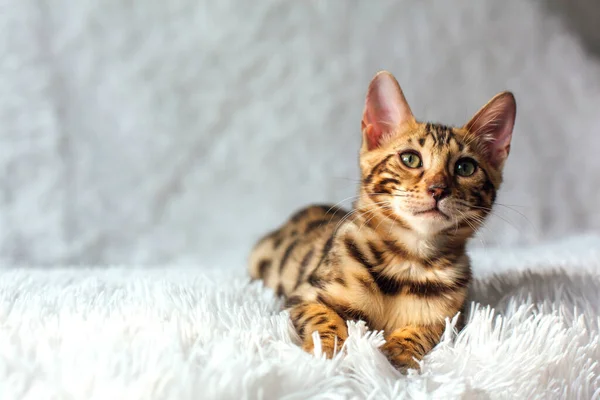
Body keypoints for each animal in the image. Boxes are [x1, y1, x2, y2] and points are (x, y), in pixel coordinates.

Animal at [247, 70, 516, 370]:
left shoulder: (451, 318)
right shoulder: (302, 297)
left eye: (465, 167)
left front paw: (398, 352)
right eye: (410, 159)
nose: (438, 189)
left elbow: (425, 330)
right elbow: (325, 318)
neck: (409, 262)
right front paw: (328, 348)